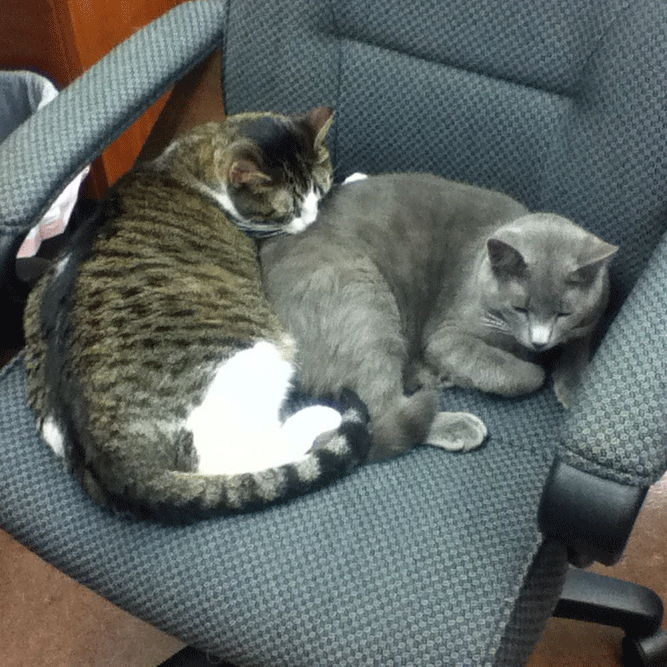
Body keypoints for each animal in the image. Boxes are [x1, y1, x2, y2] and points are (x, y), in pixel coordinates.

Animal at [23, 105, 374, 520]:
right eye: (287, 208)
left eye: (317, 190)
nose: (311, 219)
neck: (196, 155)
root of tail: (120, 473)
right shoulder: (264, 238)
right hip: (253, 358)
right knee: (242, 459)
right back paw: (319, 417)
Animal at [260, 172, 616, 460]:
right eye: (520, 308)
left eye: (564, 312)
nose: (539, 342)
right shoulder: (446, 336)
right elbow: (524, 375)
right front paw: (536, 370)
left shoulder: (591, 316)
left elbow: (580, 343)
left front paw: (574, 385)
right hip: (361, 302)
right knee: (383, 413)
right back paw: (456, 421)